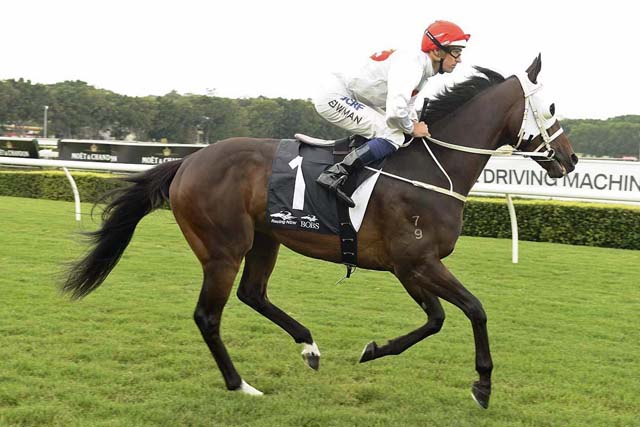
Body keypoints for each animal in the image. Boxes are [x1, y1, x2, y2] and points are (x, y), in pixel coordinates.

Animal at [62, 54, 578, 409]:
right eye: (550, 106)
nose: (570, 160)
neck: (431, 169)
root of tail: (188, 161)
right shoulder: (416, 261)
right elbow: (474, 310)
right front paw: (483, 385)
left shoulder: (409, 266)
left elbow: (436, 319)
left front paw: (373, 350)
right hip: (223, 248)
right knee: (209, 315)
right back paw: (240, 384)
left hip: (265, 238)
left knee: (253, 294)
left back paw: (308, 346)